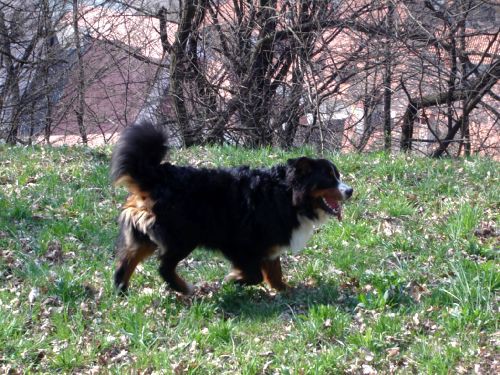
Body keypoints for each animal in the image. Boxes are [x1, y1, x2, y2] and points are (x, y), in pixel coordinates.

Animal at [110, 122, 352, 294]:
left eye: (337, 175)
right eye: (328, 178)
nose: (350, 190)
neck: (286, 195)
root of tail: (157, 176)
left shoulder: (270, 242)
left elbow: (275, 272)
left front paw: (284, 290)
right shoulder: (240, 243)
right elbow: (255, 274)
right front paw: (234, 279)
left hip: (145, 236)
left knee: (125, 263)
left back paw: (122, 292)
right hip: (183, 236)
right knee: (164, 267)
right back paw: (185, 288)